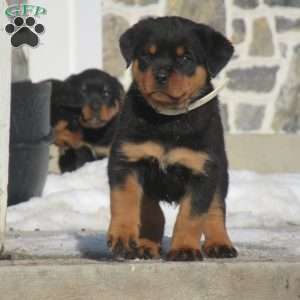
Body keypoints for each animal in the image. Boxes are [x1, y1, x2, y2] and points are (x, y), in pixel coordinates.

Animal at [106, 17, 238, 260]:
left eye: (186, 58)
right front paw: (124, 237)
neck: (168, 121)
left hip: (221, 171)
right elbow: (129, 201)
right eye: (147, 55)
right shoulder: (127, 160)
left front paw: (184, 248)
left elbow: (192, 215)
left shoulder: (202, 170)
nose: (160, 75)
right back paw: (146, 244)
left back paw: (220, 243)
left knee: (216, 209)